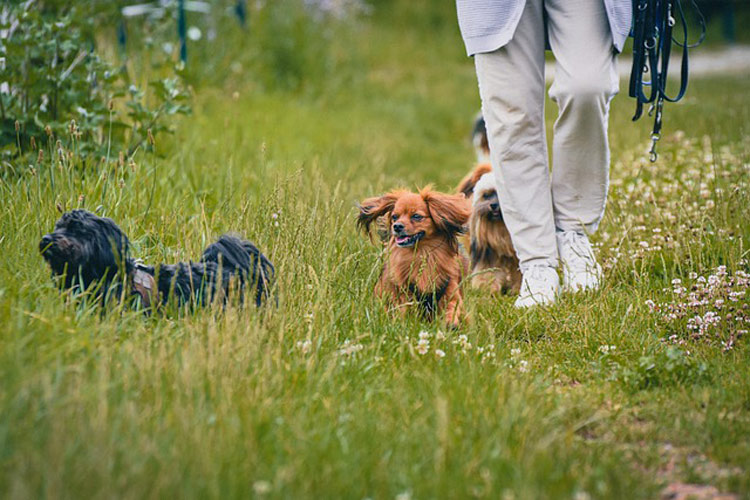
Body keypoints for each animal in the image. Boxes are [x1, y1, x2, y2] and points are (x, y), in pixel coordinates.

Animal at [356, 186, 470, 326]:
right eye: (394, 217)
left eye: (416, 216)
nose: (397, 226)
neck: (422, 253)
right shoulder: (403, 293)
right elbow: (403, 310)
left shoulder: (450, 289)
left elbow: (452, 306)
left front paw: (450, 322)